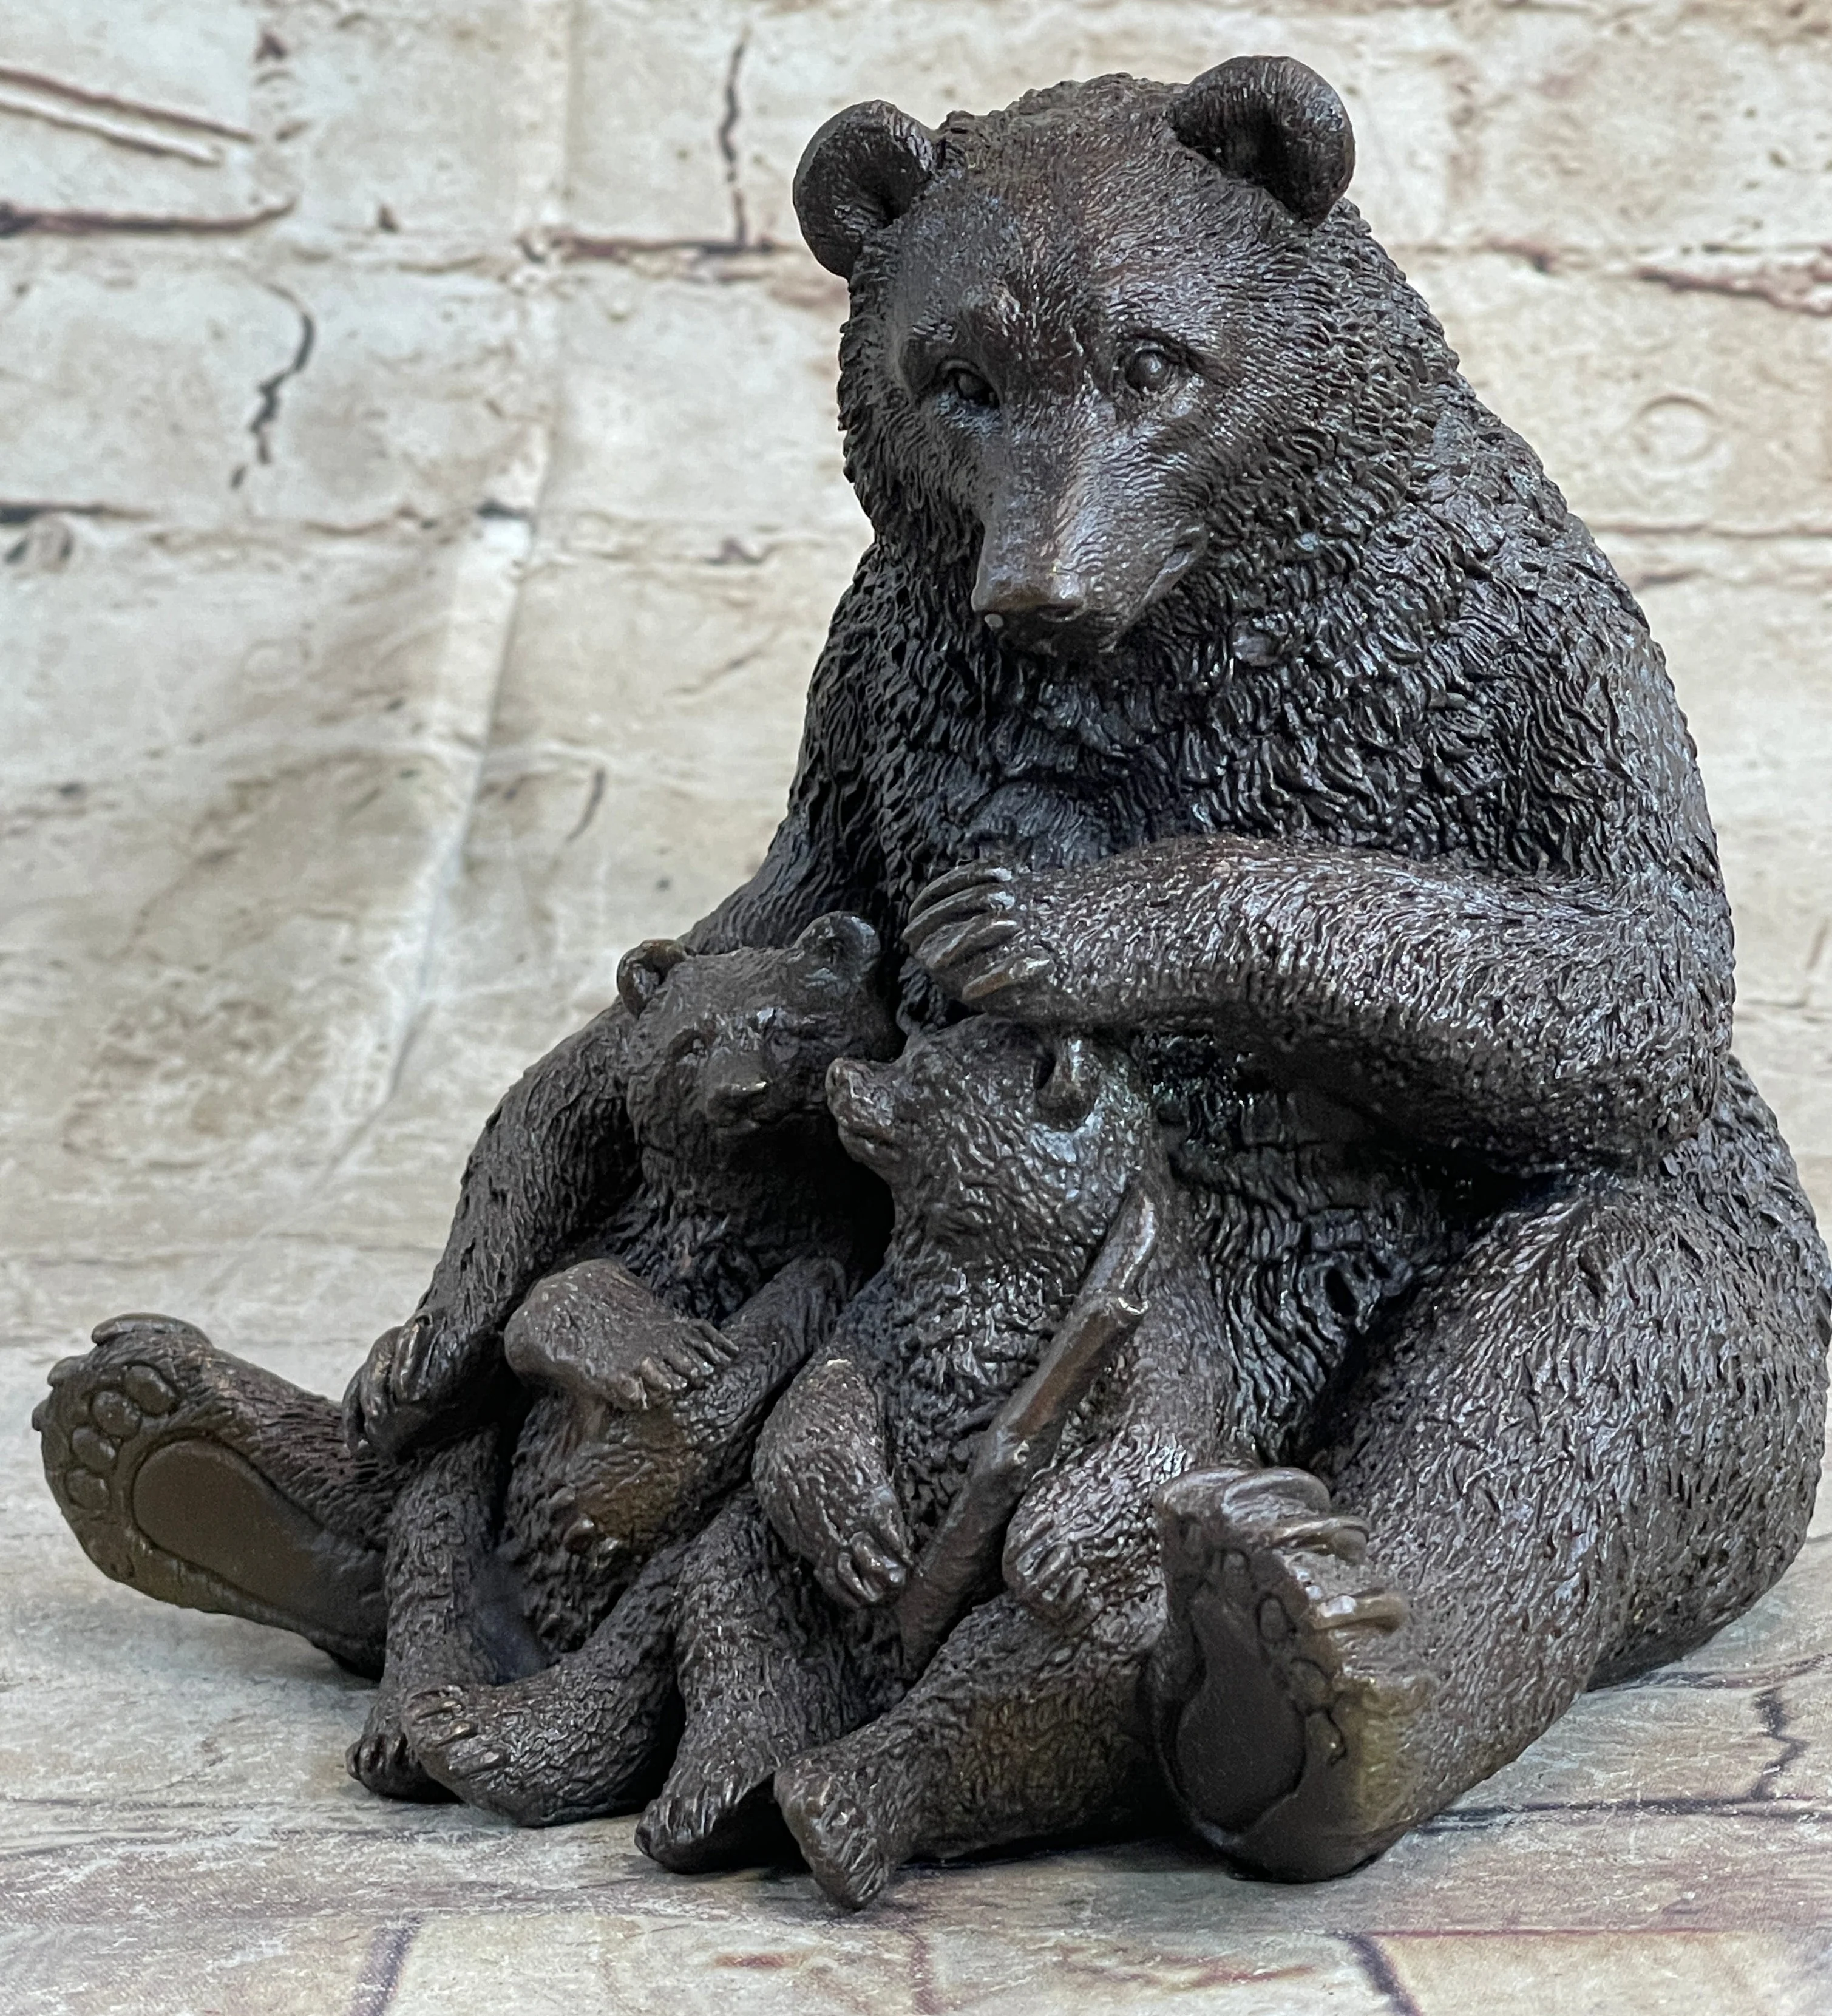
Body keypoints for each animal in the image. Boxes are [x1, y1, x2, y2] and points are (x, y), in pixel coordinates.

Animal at [36, 914, 899, 1823]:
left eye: (787, 1028)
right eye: (693, 1042)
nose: (743, 1094)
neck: (723, 1229)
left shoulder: (827, 1252)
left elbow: (782, 1348)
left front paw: (649, 1443)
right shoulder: (615, 1246)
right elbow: (535, 1308)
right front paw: (649, 1350)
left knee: (657, 1598)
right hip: (461, 1496)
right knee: (436, 1522)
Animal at [635, 1012, 1236, 1904]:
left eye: (922, 1074)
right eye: (906, 1049)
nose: (843, 1072)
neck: (992, 1262)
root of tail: (874, 1682)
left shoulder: (1157, 1322)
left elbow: (1159, 1437)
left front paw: (1048, 1539)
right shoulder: (879, 1314)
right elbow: (815, 1401)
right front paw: (861, 1538)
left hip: (1117, 1627)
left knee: (1026, 1670)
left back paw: (836, 1811)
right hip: (792, 1603)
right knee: (737, 1595)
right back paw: (713, 1796)